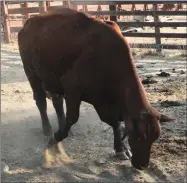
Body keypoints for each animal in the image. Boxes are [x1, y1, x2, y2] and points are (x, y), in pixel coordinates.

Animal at [17, 7, 174, 169]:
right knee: (41, 101)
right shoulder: (72, 88)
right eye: (138, 136)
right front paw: (55, 137)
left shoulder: (101, 100)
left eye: (154, 138)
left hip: (53, 81)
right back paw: (48, 130)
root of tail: (29, 23)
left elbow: (115, 123)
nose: (142, 165)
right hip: (32, 73)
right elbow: (73, 118)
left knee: (57, 102)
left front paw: (120, 148)